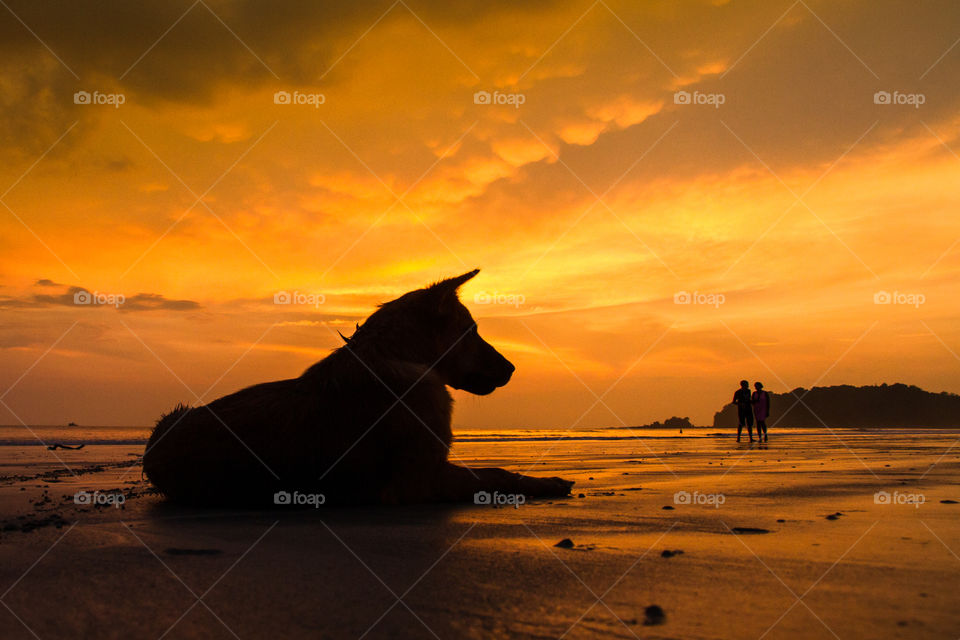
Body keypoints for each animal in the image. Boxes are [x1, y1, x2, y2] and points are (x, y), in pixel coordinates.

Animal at [146, 270, 572, 504]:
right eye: (471, 331)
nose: (513, 368)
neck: (394, 354)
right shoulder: (421, 479)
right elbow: (498, 473)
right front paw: (547, 483)